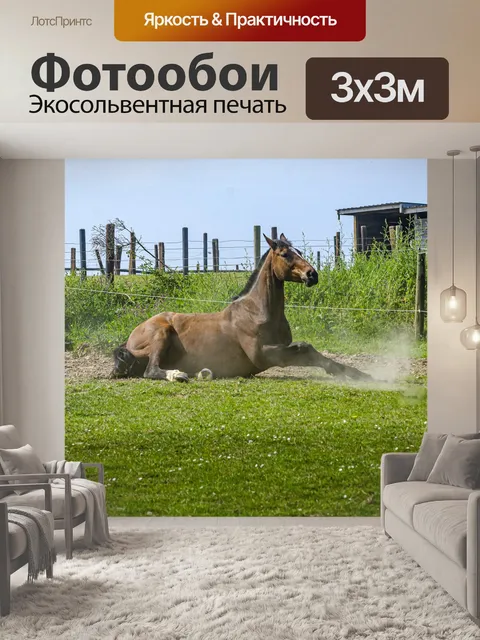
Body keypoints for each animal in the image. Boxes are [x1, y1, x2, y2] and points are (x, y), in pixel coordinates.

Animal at [112, 233, 372, 383]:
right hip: (161, 332)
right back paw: (179, 375)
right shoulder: (264, 355)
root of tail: (130, 340)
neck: (256, 311)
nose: (312, 275)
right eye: (284, 254)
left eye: (298, 251)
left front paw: (360, 375)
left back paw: (202, 372)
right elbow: (306, 348)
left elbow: (313, 352)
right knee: (151, 370)